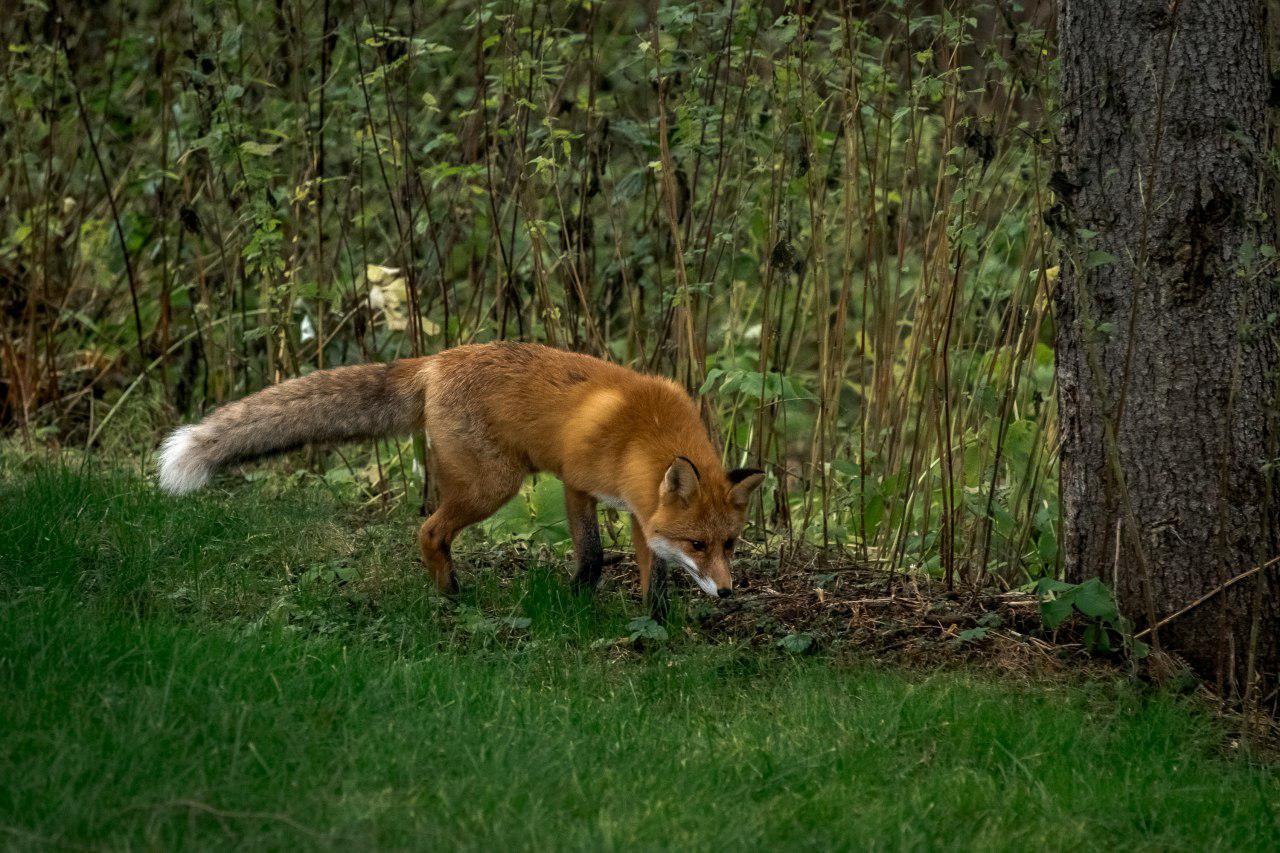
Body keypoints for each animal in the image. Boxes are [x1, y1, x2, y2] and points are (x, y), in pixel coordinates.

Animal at [157, 338, 757, 604]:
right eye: (698, 545)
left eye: (728, 545)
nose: (729, 593)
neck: (643, 432)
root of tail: (436, 360)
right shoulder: (577, 482)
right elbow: (592, 552)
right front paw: (580, 600)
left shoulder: (637, 507)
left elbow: (642, 570)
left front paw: (649, 625)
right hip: (492, 485)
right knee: (428, 530)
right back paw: (449, 594)